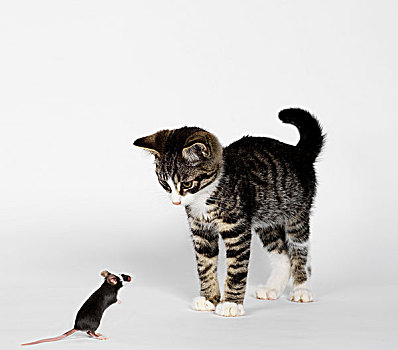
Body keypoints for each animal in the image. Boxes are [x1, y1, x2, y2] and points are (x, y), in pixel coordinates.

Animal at [134, 108, 324, 318]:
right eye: (164, 183)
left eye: (187, 184)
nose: (176, 201)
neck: (206, 195)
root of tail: (299, 152)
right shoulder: (200, 230)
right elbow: (205, 265)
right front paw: (208, 298)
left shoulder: (237, 229)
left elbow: (236, 269)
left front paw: (230, 303)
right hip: (267, 217)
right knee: (281, 253)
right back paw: (272, 288)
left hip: (297, 212)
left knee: (299, 249)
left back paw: (301, 289)